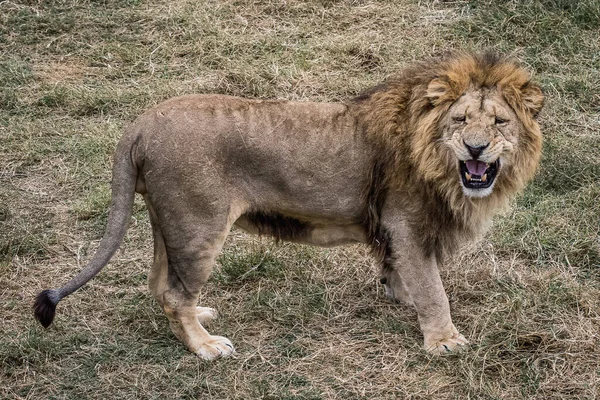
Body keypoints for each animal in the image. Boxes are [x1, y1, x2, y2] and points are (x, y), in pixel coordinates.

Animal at [35, 52, 548, 360]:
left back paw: (201, 320)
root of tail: (139, 124)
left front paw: (400, 295)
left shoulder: (396, 231)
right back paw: (206, 347)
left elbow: (405, 274)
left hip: (170, 223)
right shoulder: (407, 223)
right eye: (460, 121)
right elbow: (434, 288)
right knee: (176, 294)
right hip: (199, 225)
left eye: (499, 122)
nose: (477, 148)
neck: (440, 164)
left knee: (161, 286)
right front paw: (444, 341)